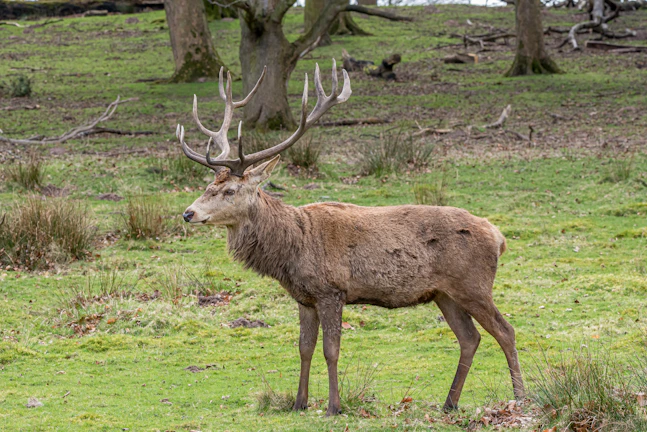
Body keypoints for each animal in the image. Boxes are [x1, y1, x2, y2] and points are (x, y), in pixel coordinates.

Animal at [176, 60, 524, 416]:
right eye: (208, 186)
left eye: (230, 190)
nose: (188, 213)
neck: (293, 248)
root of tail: (498, 237)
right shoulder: (304, 297)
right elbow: (304, 348)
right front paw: (299, 403)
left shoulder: (332, 290)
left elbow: (331, 350)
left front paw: (334, 406)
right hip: (445, 293)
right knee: (470, 338)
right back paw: (449, 402)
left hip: (473, 285)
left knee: (506, 331)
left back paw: (520, 396)